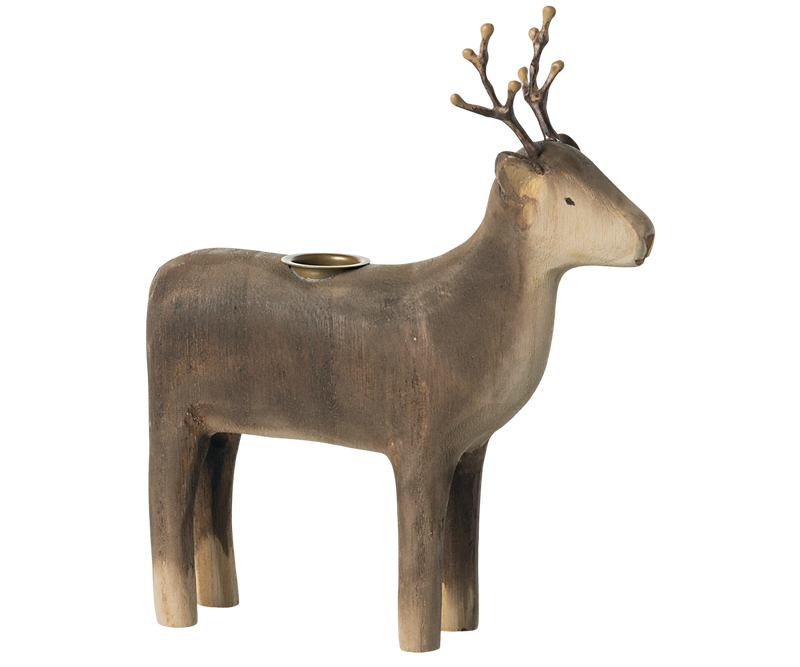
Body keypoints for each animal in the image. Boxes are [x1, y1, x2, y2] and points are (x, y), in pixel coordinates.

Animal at [145, 5, 656, 656]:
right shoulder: (418, 440)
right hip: (172, 409)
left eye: (597, 169)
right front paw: (419, 642)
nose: (648, 235)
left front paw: (461, 625)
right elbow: (418, 556)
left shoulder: (471, 448)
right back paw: (177, 616)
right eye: (569, 200)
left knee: (210, 488)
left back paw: (224, 601)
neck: (476, 320)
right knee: (164, 504)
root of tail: (157, 284)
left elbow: (462, 551)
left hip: (221, 421)